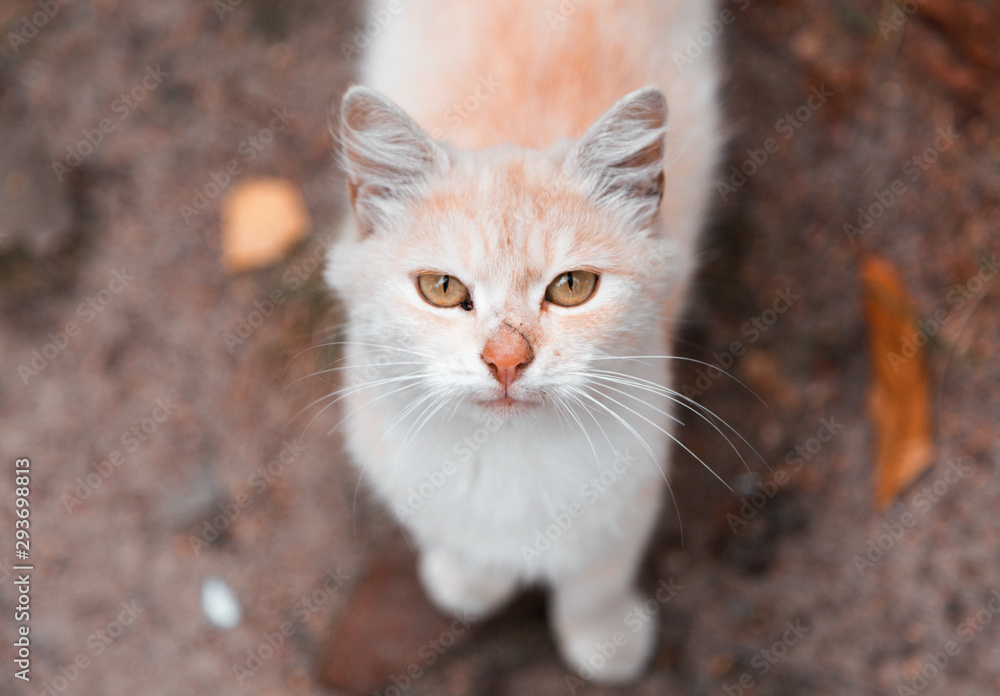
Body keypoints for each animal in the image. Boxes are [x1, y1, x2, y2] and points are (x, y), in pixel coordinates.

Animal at [324, 0, 724, 684]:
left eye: (571, 287)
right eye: (440, 287)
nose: (506, 360)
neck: (508, 456)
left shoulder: (635, 471)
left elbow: (597, 577)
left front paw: (604, 639)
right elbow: (450, 532)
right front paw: (469, 580)